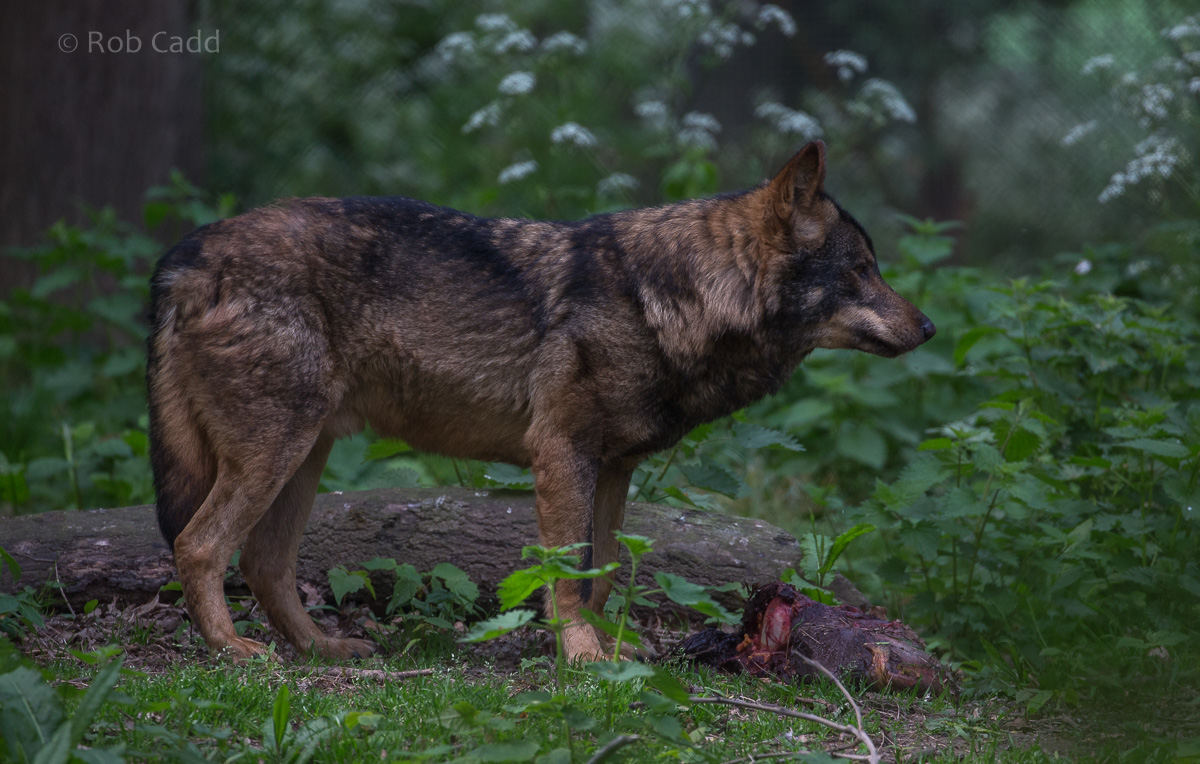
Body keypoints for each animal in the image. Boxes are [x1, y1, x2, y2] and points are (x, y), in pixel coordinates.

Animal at [146, 141, 935, 662]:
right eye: (862, 271)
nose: (928, 327)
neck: (670, 299)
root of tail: (188, 253)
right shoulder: (560, 455)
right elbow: (566, 573)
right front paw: (581, 657)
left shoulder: (613, 469)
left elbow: (602, 568)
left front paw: (607, 654)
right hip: (273, 455)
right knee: (200, 545)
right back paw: (233, 652)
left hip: (304, 458)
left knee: (264, 564)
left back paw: (323, 650)